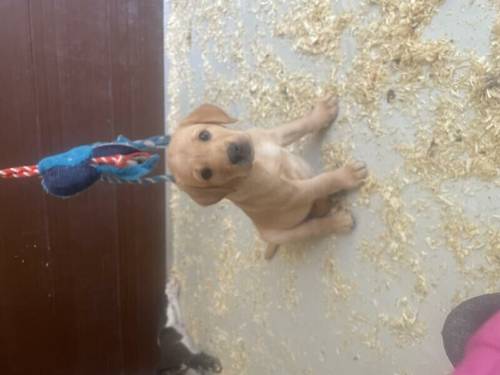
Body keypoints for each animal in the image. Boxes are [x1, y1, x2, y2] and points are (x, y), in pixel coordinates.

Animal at [168, 97, 368, 260]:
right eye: (206, 174)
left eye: (204, 135)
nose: (234, 152)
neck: (258, 163)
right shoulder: (295, 193)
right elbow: (323, 182)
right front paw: (347, 175)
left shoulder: (274, 136)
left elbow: (300, 125)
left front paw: (322, 113)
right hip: (285, 233)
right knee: (314, 227)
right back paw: (339, 221)